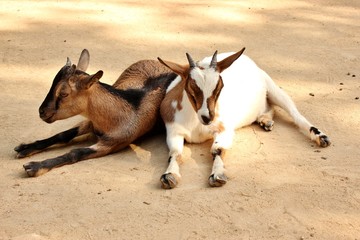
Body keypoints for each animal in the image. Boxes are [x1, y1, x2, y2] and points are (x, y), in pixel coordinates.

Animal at [14, 49, 176, 176]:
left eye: (64, 94)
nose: (42, 112)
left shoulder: (111, 144)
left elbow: (75, 152)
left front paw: (35, 166)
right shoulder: (90, 122)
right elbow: (63, 135)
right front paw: (25, 148)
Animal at [156, 47, 330, 188]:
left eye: (219, 87)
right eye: (191, 88)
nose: (208, 117)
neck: (196, 123)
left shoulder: (224, 129)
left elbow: (217, 149)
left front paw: (217, 175)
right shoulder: (173, 131)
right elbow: (175, 153)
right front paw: (169, 175)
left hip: (274, 89)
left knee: (295, 114)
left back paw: (321, 137)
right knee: (268, 108)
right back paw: (265, 121)